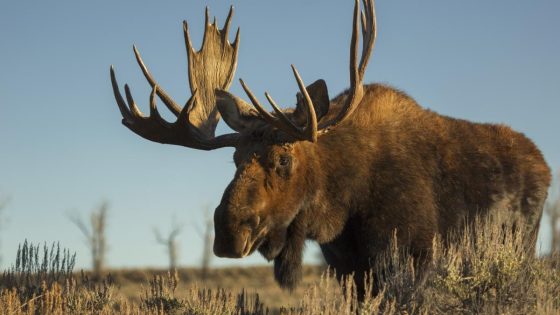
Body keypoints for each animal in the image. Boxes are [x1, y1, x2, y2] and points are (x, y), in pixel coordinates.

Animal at [110, 0, 552, 296]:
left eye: (283, 158)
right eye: (234, 159)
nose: (228, 231)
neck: (342, 205)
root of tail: (544, 164)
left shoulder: (412, 261)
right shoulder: (346, 269)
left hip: (521, 250)